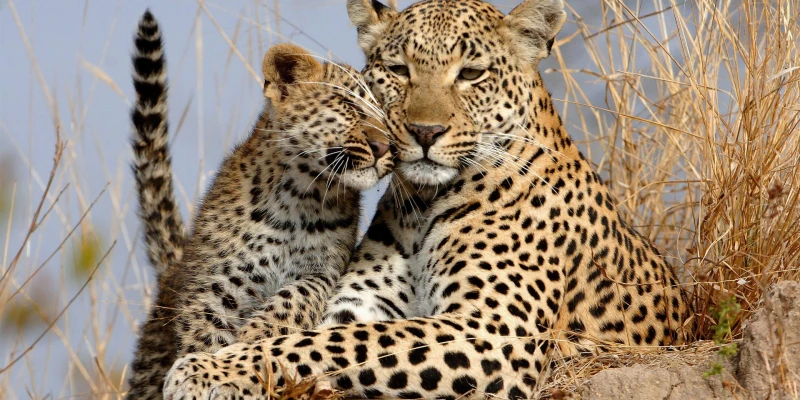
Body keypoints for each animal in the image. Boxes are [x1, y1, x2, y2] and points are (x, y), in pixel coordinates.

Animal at [124, 10, 395, 399]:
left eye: (392, 121)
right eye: (348, 106)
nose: (385, 147)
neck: (301, 198)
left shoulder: (324, 270)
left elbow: (296, 297)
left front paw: (256, 338)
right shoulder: (218, 281)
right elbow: (205, 332)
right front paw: (211, 370)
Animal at [163, 1, 690, 399]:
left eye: (471, 73)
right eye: (399, 70)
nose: (424, 132)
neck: (422, 204)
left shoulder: (494, 331)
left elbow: (342, 344)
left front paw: (205, 369)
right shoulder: (356, 304)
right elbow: (325, 337)